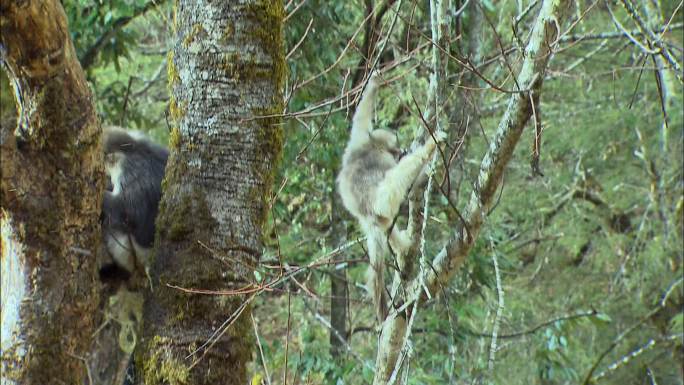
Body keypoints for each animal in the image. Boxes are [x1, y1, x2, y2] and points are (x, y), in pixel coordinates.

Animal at [338, 73, 446, 320]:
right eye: (395, 147)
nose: (400, 151)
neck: (370, 147)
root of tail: (366, 215)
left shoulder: (357, 141)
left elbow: (360, 120)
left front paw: (374, 82)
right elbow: (390, 188)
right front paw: (431, 145)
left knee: (384, 221)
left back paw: (402, 245)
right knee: (389, 195)